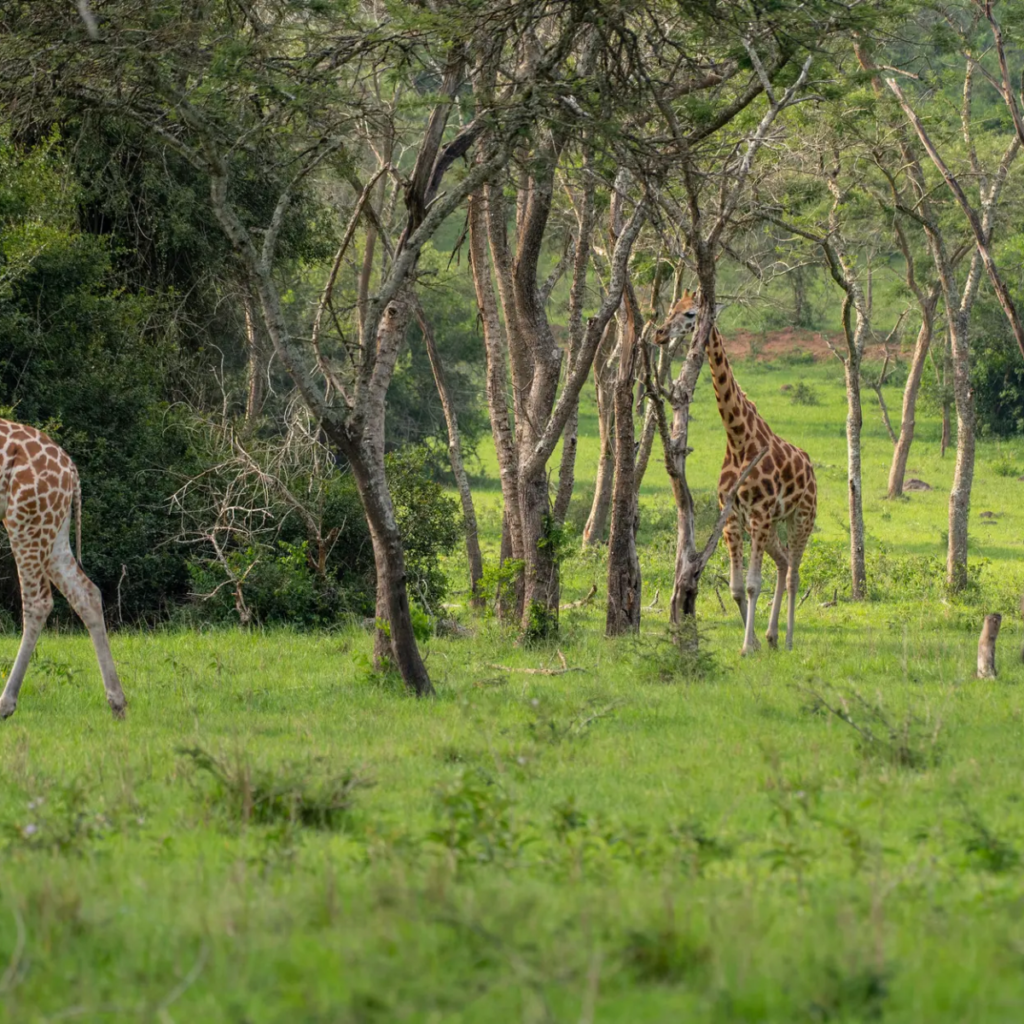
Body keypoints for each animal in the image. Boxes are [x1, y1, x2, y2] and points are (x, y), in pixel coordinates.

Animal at [0, 419, 125, 719]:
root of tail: (70, 470)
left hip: (26, 521)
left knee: (38, 602)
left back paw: (5, 704)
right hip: (53, 527)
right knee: (86, 593)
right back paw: (117, 704)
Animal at [653, 293, 817, 654]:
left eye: (690, 313)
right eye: (671, 308)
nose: (659, 333)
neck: (739, 439)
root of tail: (810, 467)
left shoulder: (759, 514)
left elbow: (754, 584)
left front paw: (745, 647)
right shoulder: (732, 518)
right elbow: (737, 587)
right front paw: (752, 642)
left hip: (801, 517)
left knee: (795, 572)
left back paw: (788, 639)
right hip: (772, 525)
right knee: (783, 562)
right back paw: (770, 636)